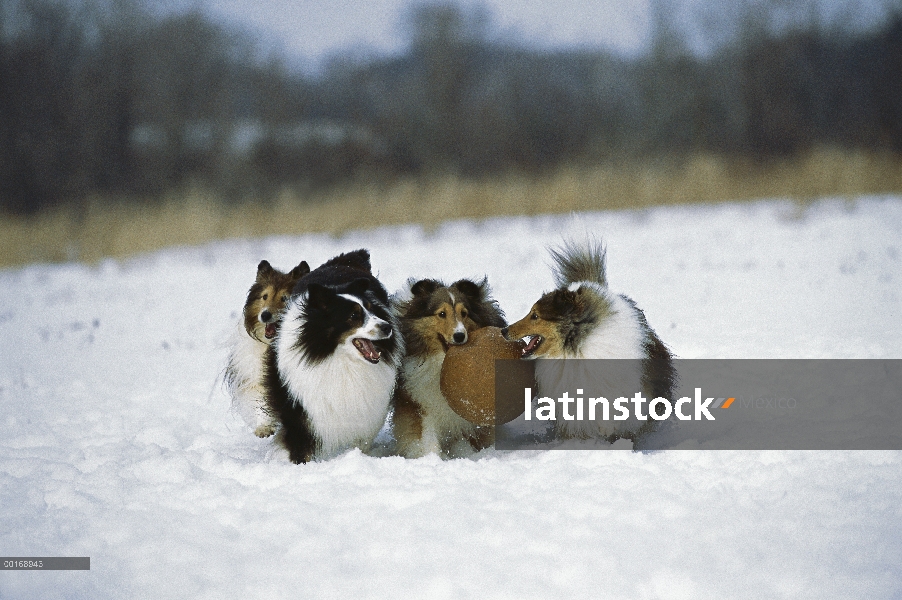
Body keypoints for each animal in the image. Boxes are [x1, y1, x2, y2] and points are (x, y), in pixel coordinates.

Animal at [262, 248, 402, 464]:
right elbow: (300, 446)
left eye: (372, 309)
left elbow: (361, 441)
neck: (338, 359)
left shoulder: (366, 412)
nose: (388, 327)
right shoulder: (299, 411)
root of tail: (344, 260)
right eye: (353, 316)